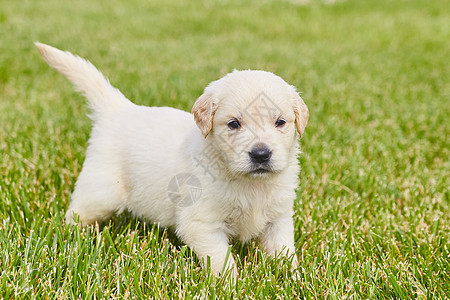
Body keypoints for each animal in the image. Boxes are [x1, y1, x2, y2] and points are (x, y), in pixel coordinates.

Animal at [37, 42, 308, 276]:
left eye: (280, 122)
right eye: (233, 124)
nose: (261, 154)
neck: (250, 183)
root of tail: (119, 109)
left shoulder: (279, 218)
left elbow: (284, 252)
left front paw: (293, 279)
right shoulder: (201, 223)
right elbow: (221, 259)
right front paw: (228, 285)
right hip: (100, 192)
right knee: (77, 213)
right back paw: (68, 236)